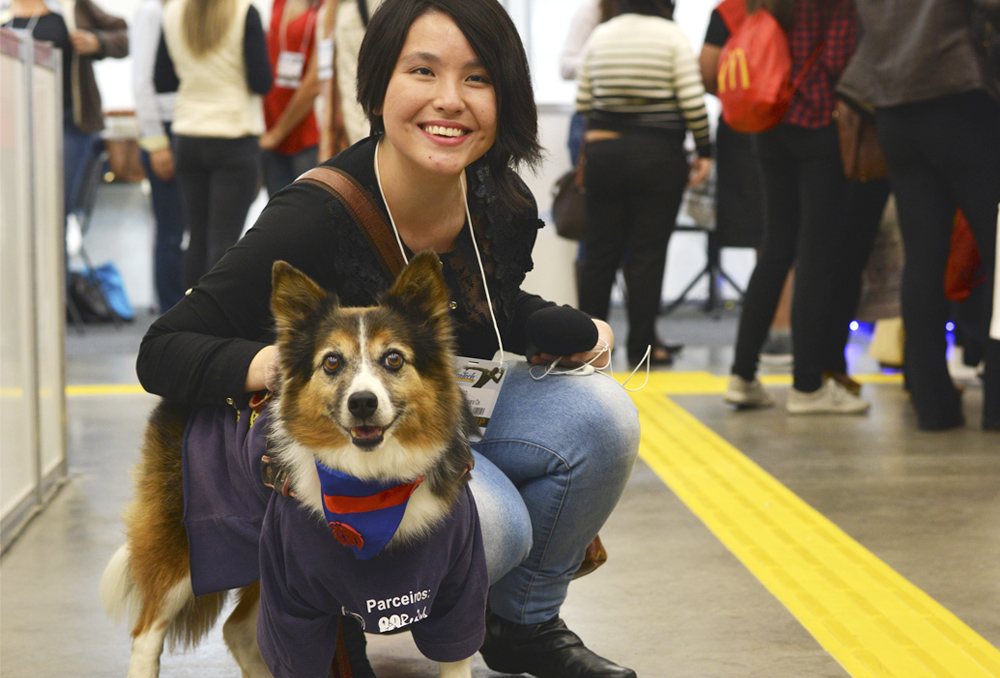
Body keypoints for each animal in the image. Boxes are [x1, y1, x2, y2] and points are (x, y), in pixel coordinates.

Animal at [99, 254, 482, 678]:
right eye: (332, 362)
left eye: (394, 358)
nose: (362, 402)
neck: (372, 487)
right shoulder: (289, 593)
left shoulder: (459, 584)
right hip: (183, 550)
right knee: (146, 636)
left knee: (239, 631)